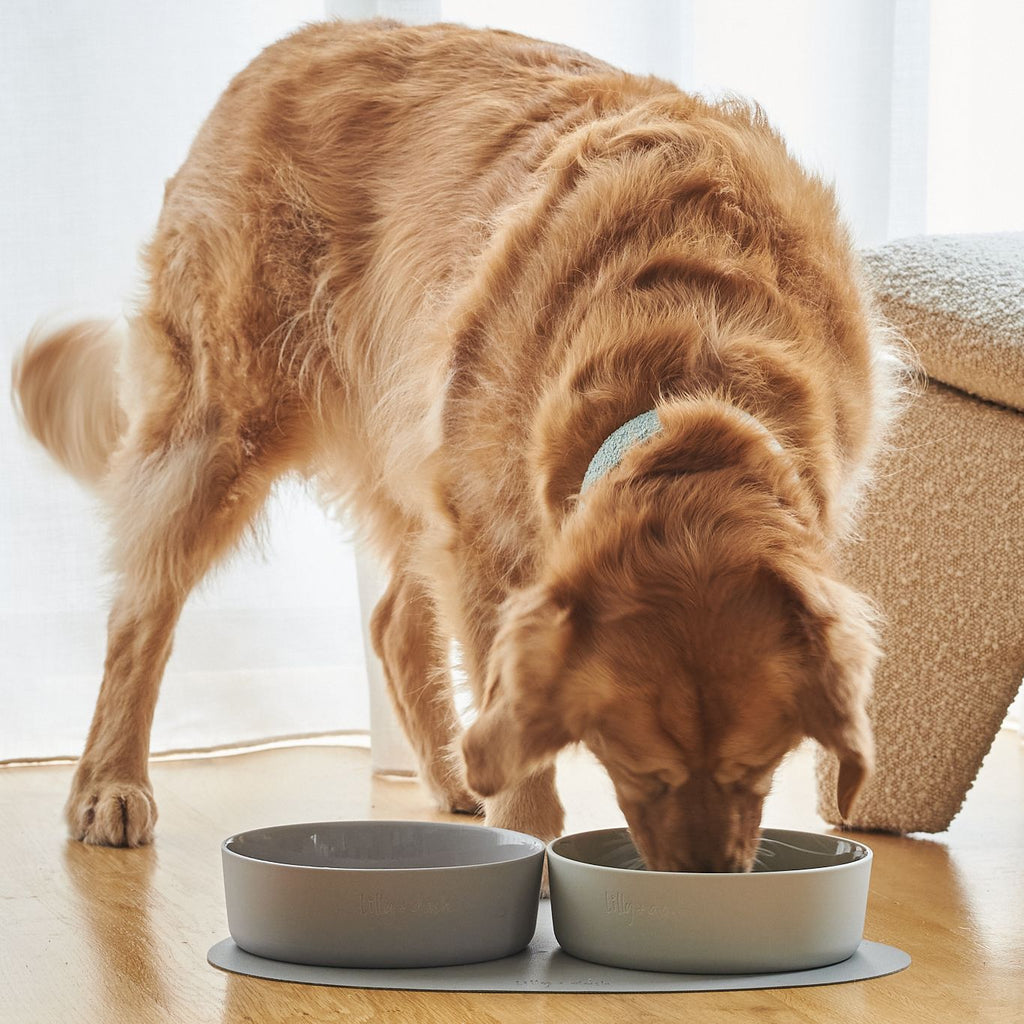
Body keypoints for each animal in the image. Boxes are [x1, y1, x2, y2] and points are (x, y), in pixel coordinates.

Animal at [12, 19, 901, 868]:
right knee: (141, 617)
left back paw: (451, 780)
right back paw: (110, 784)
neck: (691, 357)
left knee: (393, 625)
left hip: (415, 448)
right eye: (640, 767)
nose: (706, 876)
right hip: (221, 424)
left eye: (760, 764)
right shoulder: (487, 543)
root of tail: (285, 48)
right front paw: (531, 849)